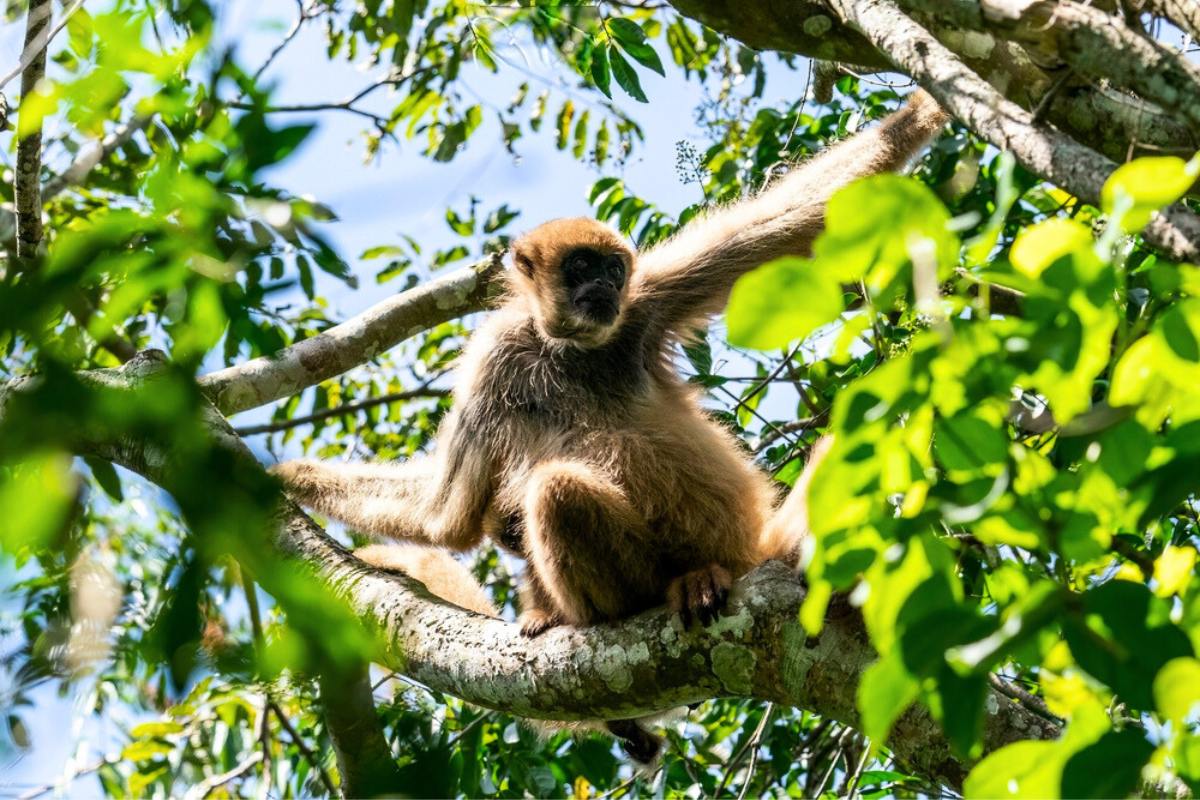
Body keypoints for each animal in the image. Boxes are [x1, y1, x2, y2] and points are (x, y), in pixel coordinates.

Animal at [272, 90, 945, 762]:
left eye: (613, 271)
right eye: (579, 266)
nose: (602, 284)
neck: (568, 351)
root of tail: (751, 551)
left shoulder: (641, 308)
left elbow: (790, 221)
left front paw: (925, 105)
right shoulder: (496, 359)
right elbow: (447, 517)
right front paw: (286, 479)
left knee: (552, 493)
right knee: (554, 493)